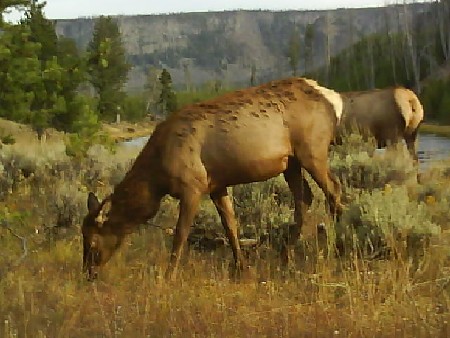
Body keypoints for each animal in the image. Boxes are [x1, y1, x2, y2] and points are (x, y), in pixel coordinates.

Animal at [81, 78, 344, 282]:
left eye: (92, 242)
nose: (88, 273)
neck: (156, 179)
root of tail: (333, 99)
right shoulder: (217, 185)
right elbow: (230, 226)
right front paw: (242, 268)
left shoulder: (192, 186)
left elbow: (180, 234)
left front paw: (168, 276)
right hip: (291, 162)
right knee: (305, 198)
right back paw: (285, 257)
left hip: (312, 150)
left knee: (333, 189)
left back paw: (338, 248)